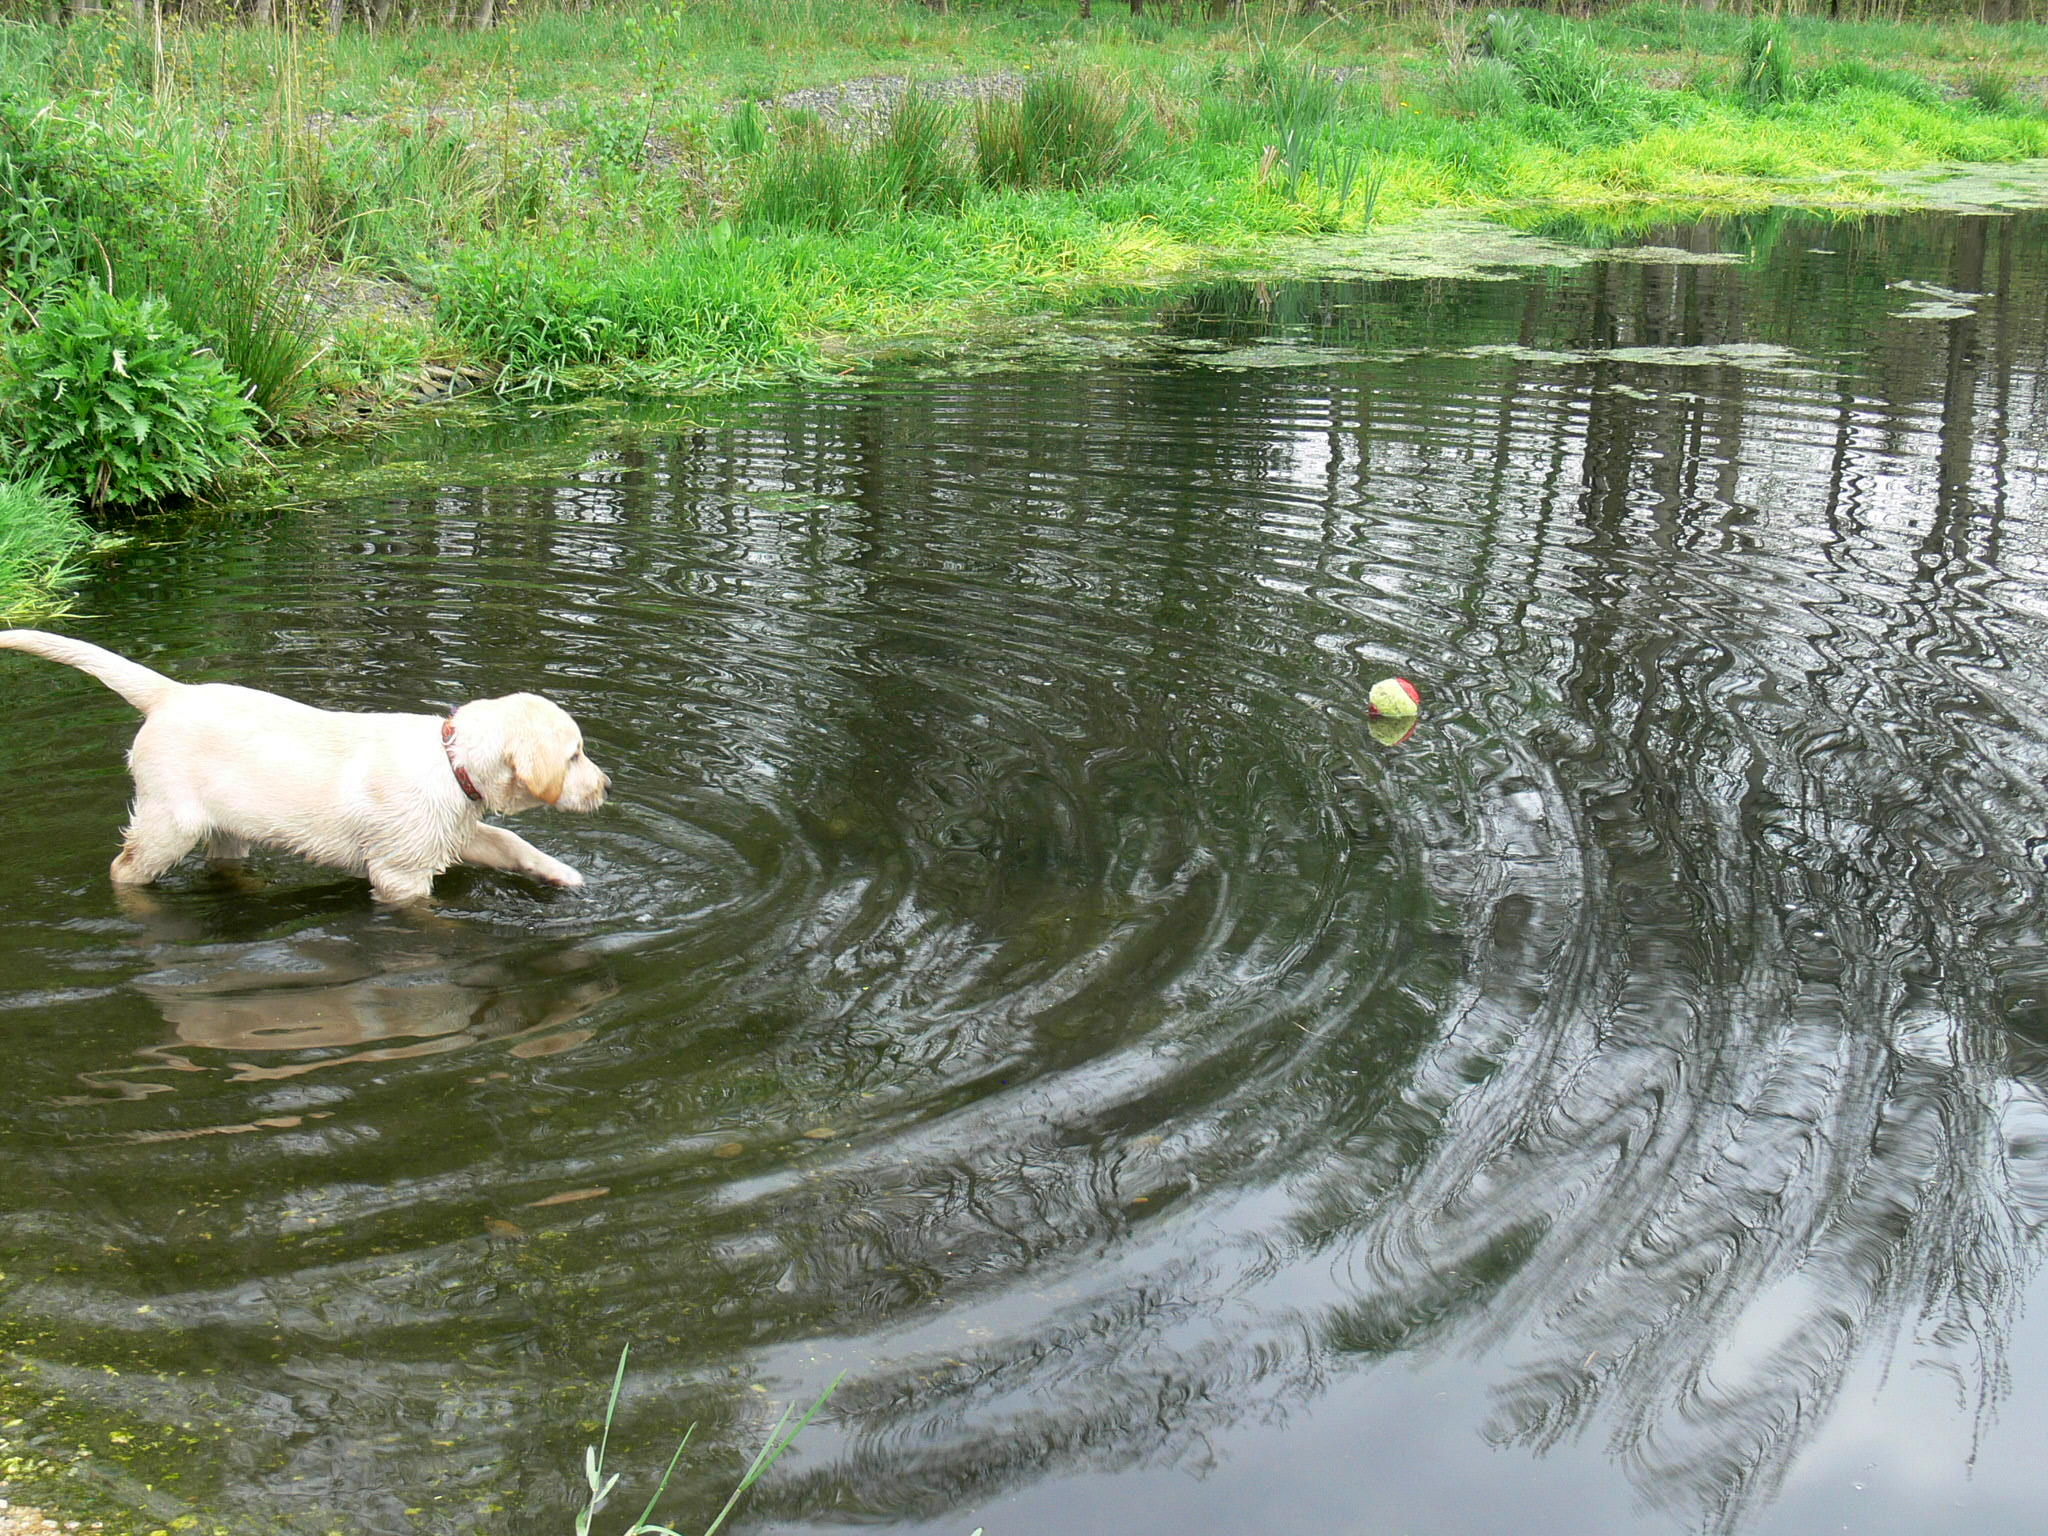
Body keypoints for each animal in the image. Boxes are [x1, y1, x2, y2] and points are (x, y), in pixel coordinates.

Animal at [0, 630, 606, 909]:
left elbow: (510, 842)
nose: (606, 785)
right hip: (169, 822)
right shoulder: (400, 873)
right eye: (575, 755)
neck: (451, 761)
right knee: (123, 868)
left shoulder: (449, 835)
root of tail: (171, 694)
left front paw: (563, 874)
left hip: (226, 826)